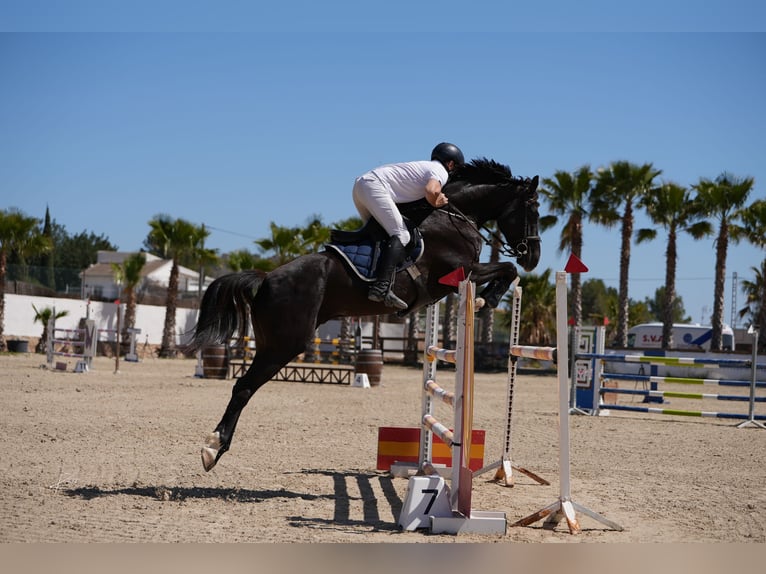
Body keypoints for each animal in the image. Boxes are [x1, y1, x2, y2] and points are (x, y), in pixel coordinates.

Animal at [189, 159, 544, 472]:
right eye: (533, 209)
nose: (534, 258)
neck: (455, 215)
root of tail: (265, 279)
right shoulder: (461, 271)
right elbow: (506, 268)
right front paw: (487, 299)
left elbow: (507, 270)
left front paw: (488, 297)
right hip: (284, 344)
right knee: (244, 387)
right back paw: (212, 447)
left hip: (273, 342)